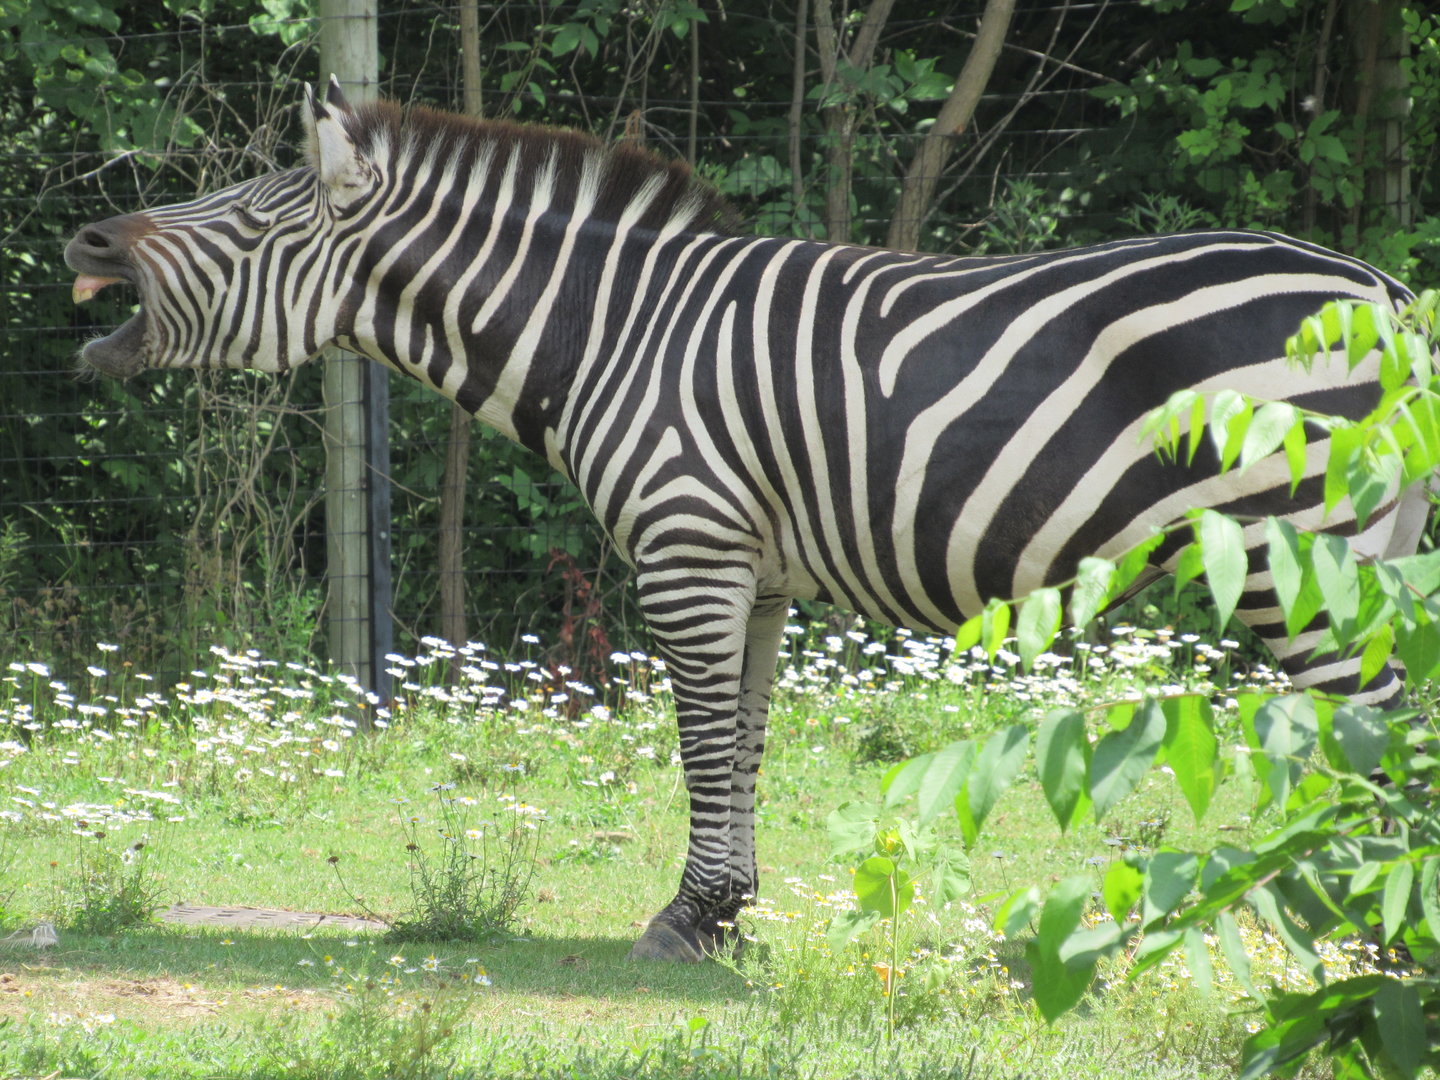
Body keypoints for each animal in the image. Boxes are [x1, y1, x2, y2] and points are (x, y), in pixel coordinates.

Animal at [65, 79, 1427, 962]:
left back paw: (1369, 928)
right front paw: (733, 913)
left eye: (250, 217)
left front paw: (689, 921)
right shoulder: (754, 572)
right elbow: (752, 741)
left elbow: (704, 745)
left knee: (1376, 735)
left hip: (1303, 559)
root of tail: (1383, 288)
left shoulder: (687, 548)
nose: (84, 236)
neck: (610, 334)